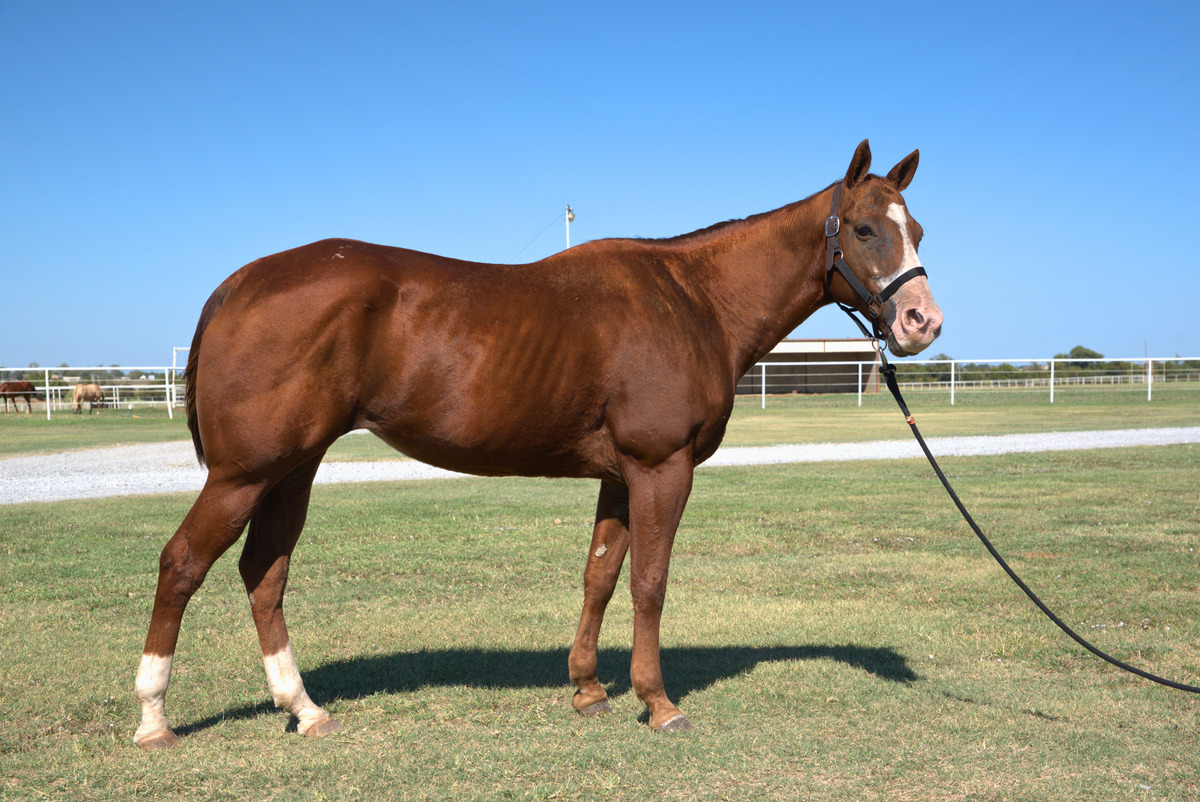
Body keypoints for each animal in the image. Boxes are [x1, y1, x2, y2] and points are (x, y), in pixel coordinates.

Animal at [134, 140, 943, 749]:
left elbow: (601, 576)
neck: (692, 299)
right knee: (183, 564)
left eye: (919, 231)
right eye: (865, 230)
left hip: (292, 469)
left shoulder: (620, 476)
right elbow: (649, 582)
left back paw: (303, 709)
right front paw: (659, 702)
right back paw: (154, 719)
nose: (921, 323)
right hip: (244, 474)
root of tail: (239, 284)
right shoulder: (661, 469)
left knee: (263, 574)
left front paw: (588, 689)